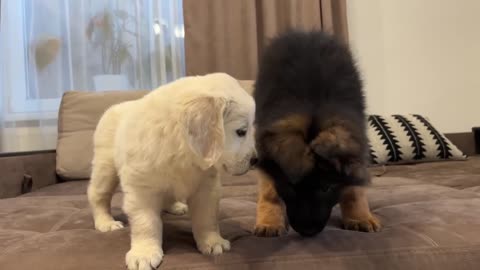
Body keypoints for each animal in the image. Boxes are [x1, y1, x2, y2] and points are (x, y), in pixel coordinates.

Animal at [87, 73, 256, 270]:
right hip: (105, 167)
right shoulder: (141, 190)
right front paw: (144, 252)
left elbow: (207, 218)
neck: (182, 149)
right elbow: (146, 223)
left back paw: (175, 207)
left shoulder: (206, 188)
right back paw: (106, 222)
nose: (256, 160)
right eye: (241, 131)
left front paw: (213, 242)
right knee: (98, 195)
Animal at [253, 30, 380, 236]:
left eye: (327, 187)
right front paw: (270, 221)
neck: (313, 105)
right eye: (290, 186)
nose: (307, 231)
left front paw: (359, 217)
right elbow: (270, 189)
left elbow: (353, 187)